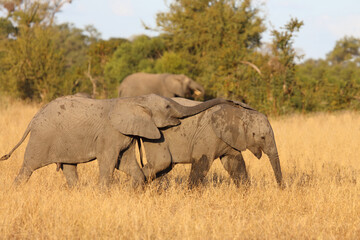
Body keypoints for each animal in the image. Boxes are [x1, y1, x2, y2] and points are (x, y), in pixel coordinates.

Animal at [0, 94, 233, 188]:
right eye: (168, 106)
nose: (234, 103)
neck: (132, 100)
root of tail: (33, 120)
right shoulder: (109, 134)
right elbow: (109, 161)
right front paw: (104, 193)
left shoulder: (125, 136)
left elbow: (126, 162)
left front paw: (137, 186)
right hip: (42, 138)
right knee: (28, 167)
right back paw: (16, 190)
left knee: (69, 167)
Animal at [130, 97, 284, 188]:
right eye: (262, 137)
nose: (281, 188)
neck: (240, 113)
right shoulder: (208, 135)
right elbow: (202, 163)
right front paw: (190, 194)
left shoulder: (230, 139)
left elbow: (235, 164)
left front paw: (245, 192)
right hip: (155, 136)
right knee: (161, 163)